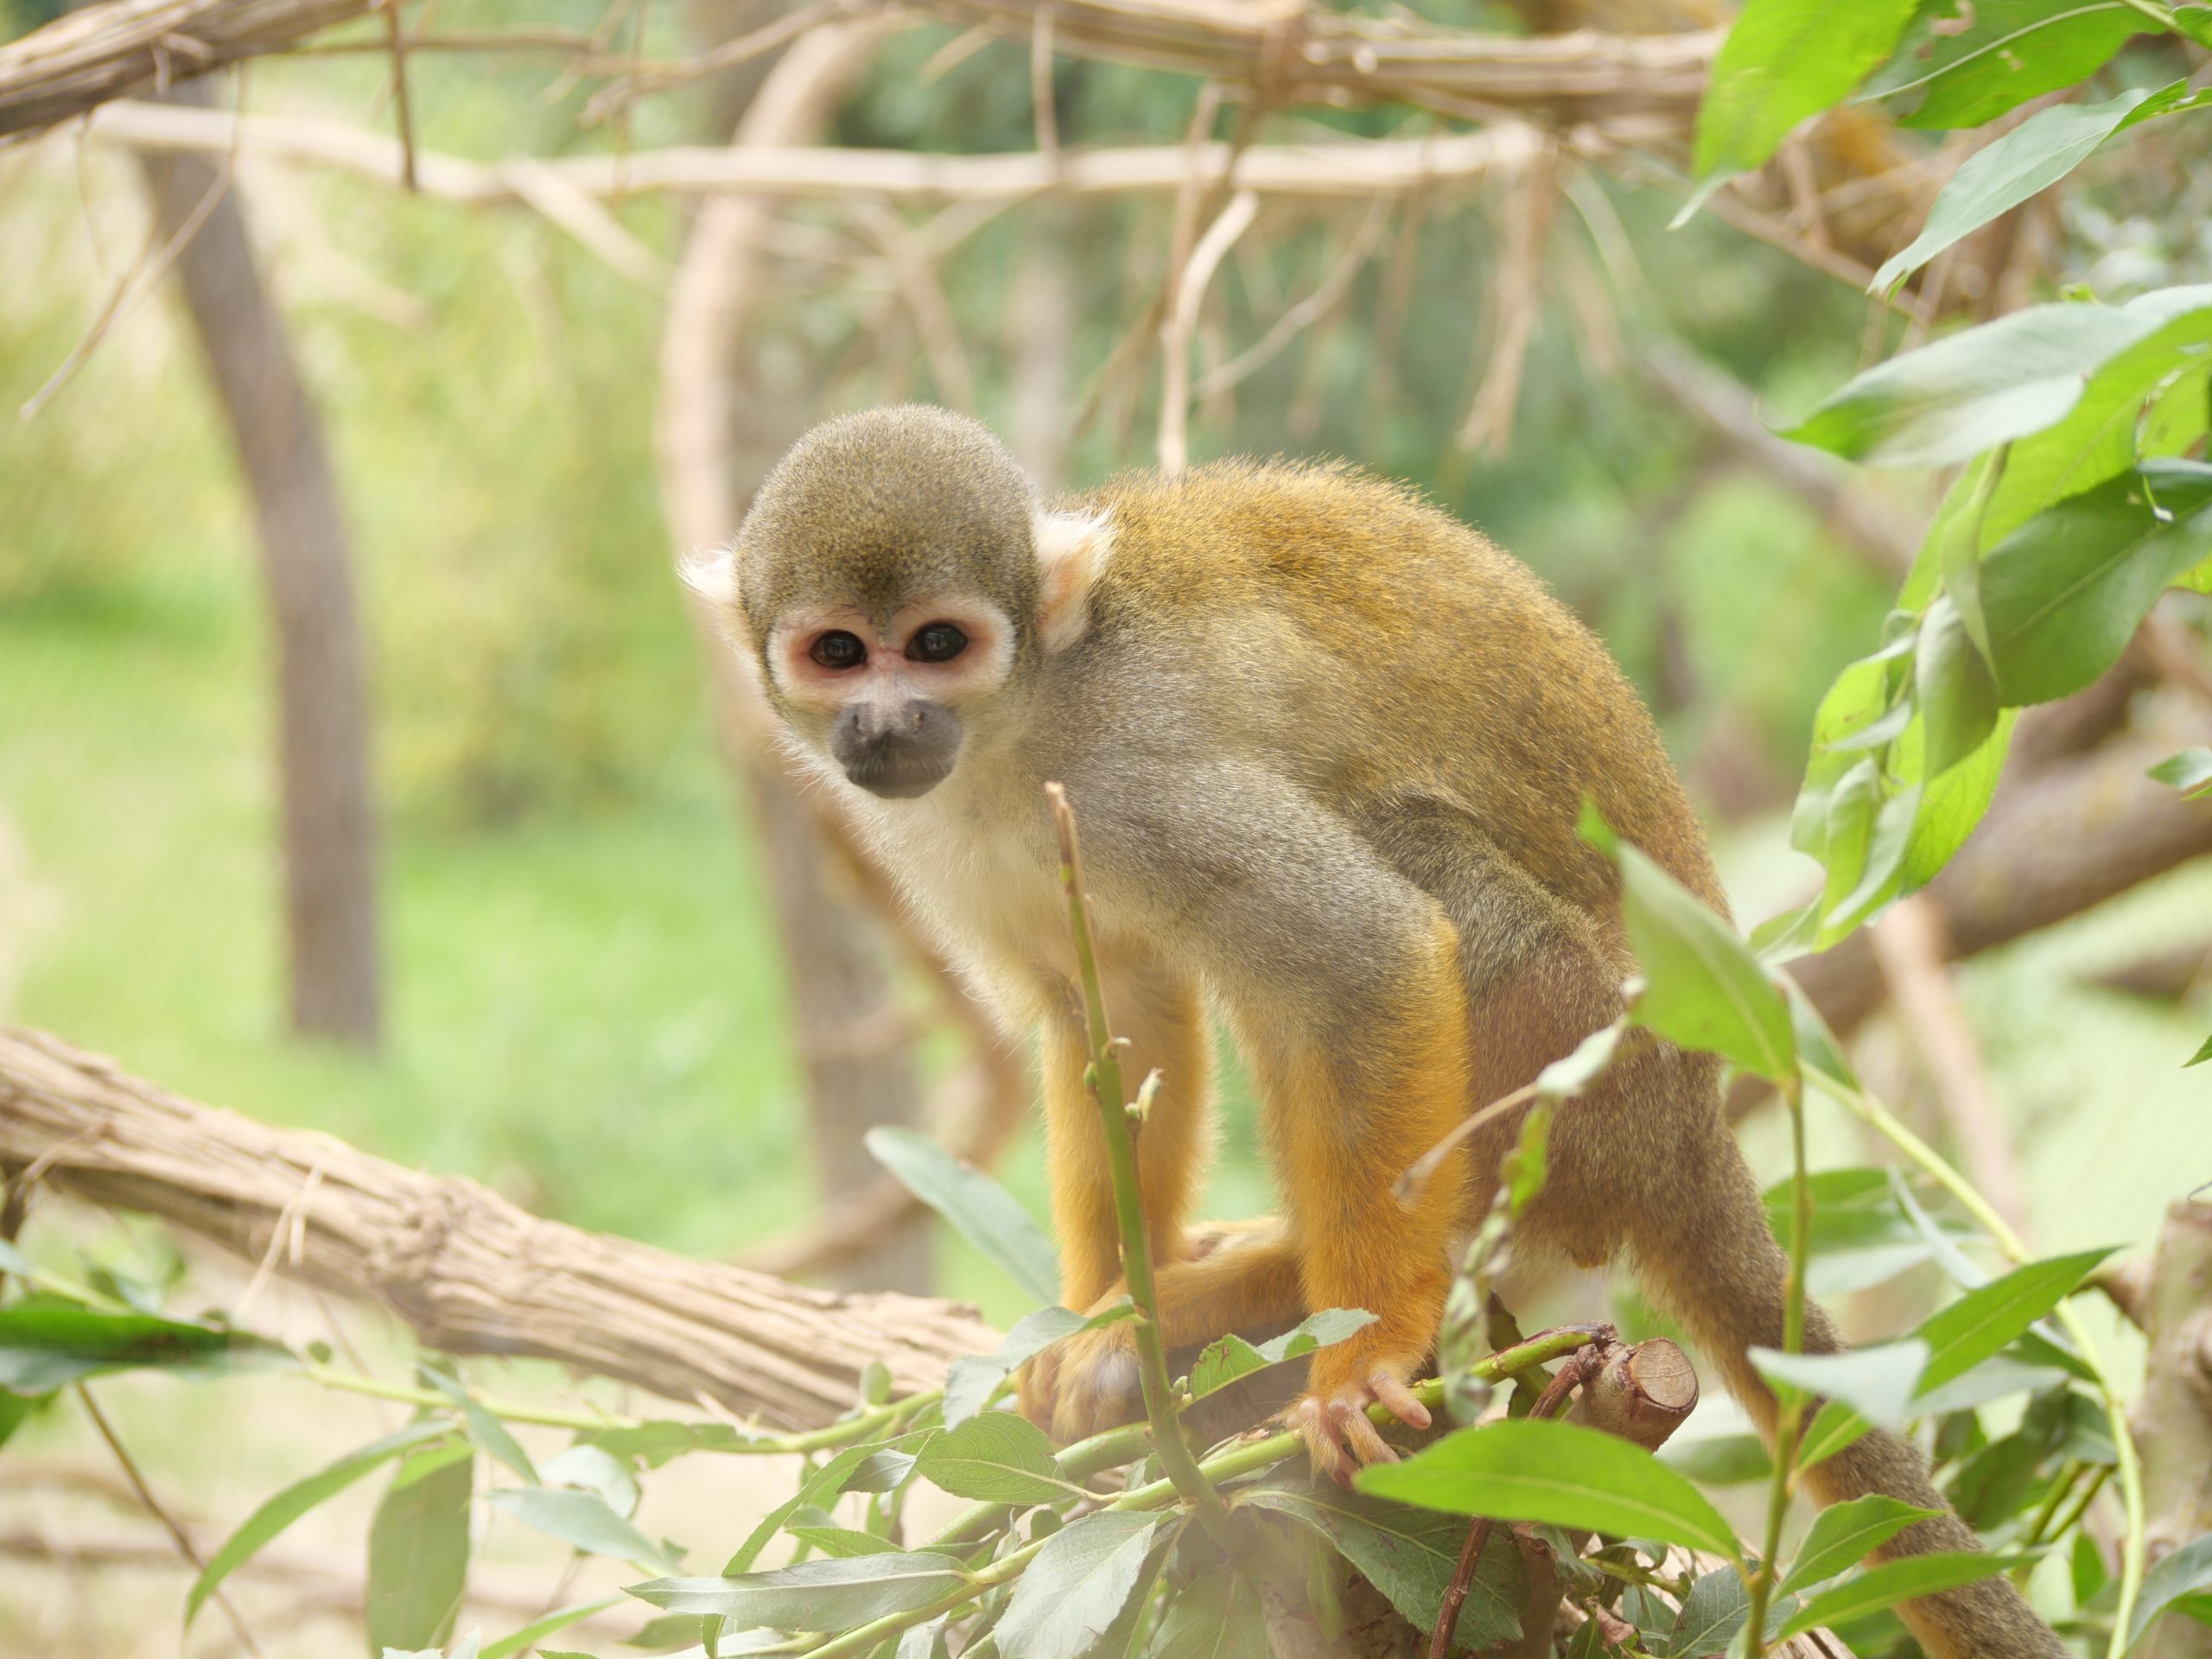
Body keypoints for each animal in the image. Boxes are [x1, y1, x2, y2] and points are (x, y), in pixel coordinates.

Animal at [708, 407, 2070, 1659]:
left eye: (939, 644)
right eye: (840, 653)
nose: (886, 725)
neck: (1016, 726)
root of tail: (1700, 1138)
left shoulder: (1136, 785)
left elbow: (1366, 957)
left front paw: (1361, 1360)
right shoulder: (946, 834)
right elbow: (1115, 1013)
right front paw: (1098, 1328)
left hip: (1599, 1067)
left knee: (1409, 883)